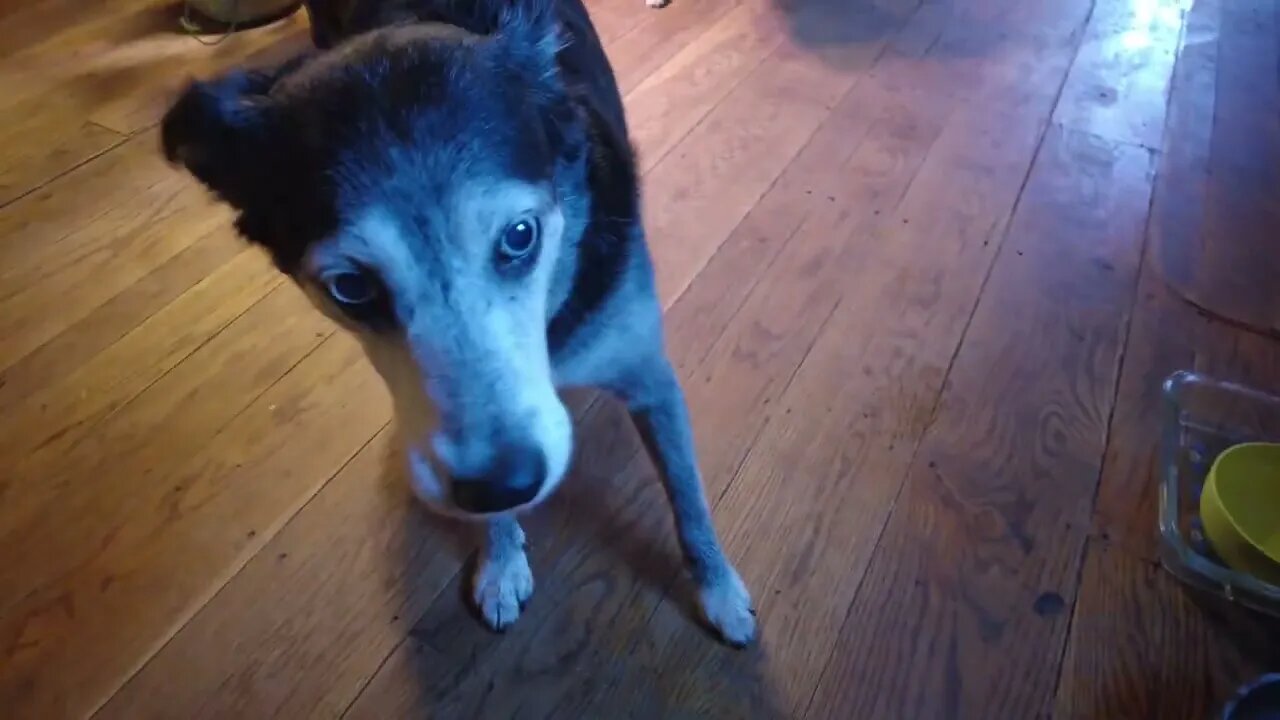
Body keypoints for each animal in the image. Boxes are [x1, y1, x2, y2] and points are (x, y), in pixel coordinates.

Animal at [163, 0, 752, 645]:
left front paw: (720, 591)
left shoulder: (650, 378)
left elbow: (688, 497)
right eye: (351, 288)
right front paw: (502, 564)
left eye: (520, 235)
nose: (503, 484)